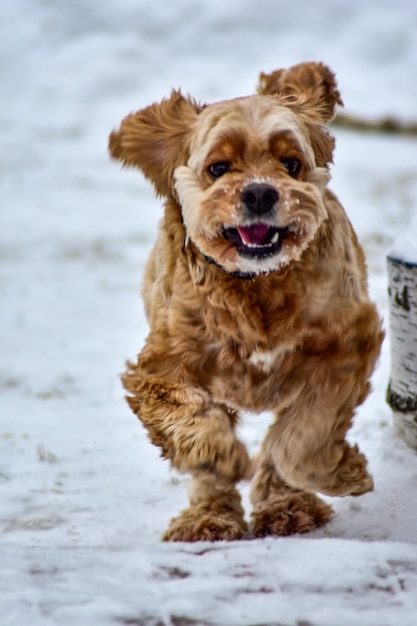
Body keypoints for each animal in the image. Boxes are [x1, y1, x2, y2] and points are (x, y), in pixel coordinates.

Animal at [109, 64, 382, 540]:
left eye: (291, 163)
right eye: (218, 168)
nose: (258, 192)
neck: (257, 287)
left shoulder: (346, 345)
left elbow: (303, 439)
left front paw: (345, 472)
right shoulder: (162, 367)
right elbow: (189, 421)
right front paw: (220, 456)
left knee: (280, 443)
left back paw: (287, 508)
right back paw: (209, 517)